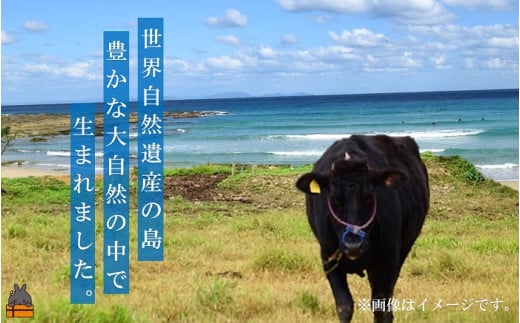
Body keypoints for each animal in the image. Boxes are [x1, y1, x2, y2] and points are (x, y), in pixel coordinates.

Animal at [294, 135, 428, 322]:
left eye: (369, 198)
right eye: (334, 199)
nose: (353, 246)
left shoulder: (388, 261)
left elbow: (381, 308)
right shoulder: (329, 259)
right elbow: (344, 306)